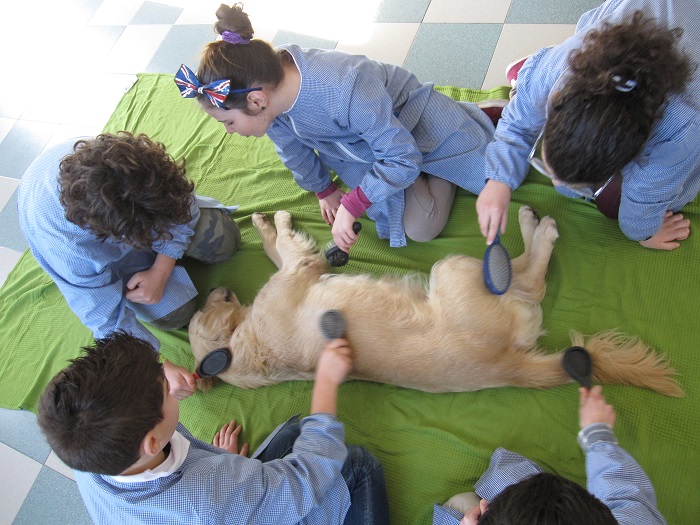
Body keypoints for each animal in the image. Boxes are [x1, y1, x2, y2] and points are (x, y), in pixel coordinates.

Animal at [189, 207, 680, 396]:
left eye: (199, 313)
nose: (212, 290)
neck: (245, 346)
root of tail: (506, 366)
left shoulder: (295, 271)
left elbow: (276, 248)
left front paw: (261, 222)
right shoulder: (300, 269)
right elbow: (289, 244)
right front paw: (279, 219)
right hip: (456, 272)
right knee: (526, 277)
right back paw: (536, 225)